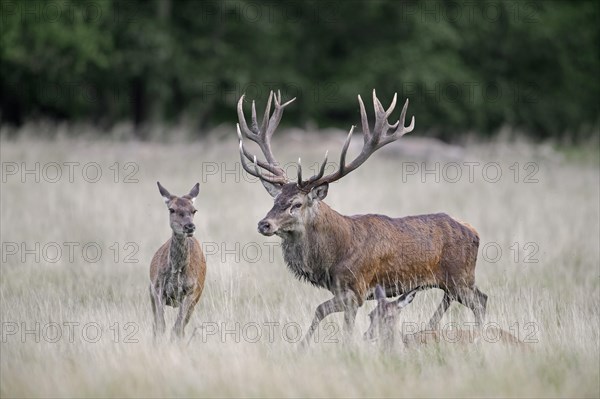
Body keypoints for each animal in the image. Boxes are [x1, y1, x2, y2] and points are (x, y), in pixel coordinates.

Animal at [149, 183, 206, 340]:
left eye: (194, 210)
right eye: (172, 209)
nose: (189, 226)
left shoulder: (191, 292)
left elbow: (177, 327)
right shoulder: (157, 288)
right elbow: (161, 325)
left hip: (196, 297)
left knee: (182, 327)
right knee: (155, 325)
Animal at [237, 90, 486, 346]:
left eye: (296, 204)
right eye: (275, 200)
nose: (264, 224)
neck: (333, 256)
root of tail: (473, 231)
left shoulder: (356, 288)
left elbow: (326, 313)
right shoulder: (342, 290)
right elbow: (323, 312)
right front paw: (304, 346)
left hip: (460, 276)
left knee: (480, 301)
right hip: (453, 281)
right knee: (465, 299)